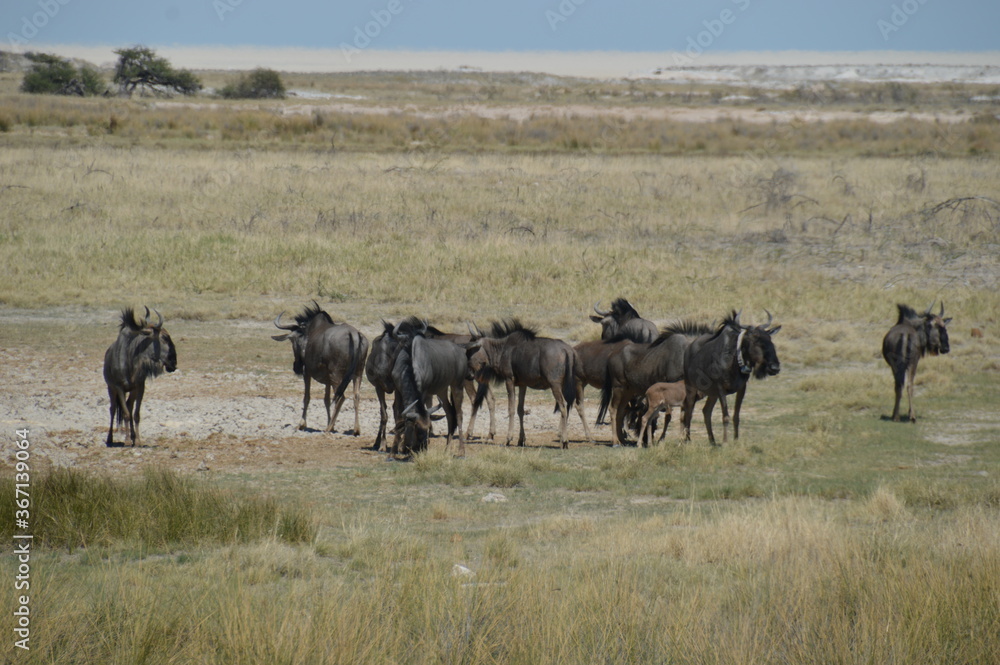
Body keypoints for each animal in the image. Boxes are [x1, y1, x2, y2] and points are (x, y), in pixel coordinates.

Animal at [103, 307, 177, 447]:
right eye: (164, 337)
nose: (174, 363)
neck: (130, 358)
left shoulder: (139, 387)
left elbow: (136, 414)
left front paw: (137, 440)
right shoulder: (119, 387)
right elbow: (126, 414)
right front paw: (127, 441)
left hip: (131, 391)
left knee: (129, 406)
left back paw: (132, 436)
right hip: (111, 389)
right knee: (113, 409)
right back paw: (110, 439)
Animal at [272, 303, 369, 435]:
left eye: (292, 341)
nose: (296, 367)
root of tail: (354, 335)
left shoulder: (307, 372)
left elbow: (307, 397)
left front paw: (302, 424)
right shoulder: (327, 379)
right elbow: (326, 400)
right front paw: (329, 422)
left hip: (336, 375)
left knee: (341, 398)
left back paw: (328, 429)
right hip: (358, 374)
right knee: (356, 396)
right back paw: (356, 429)